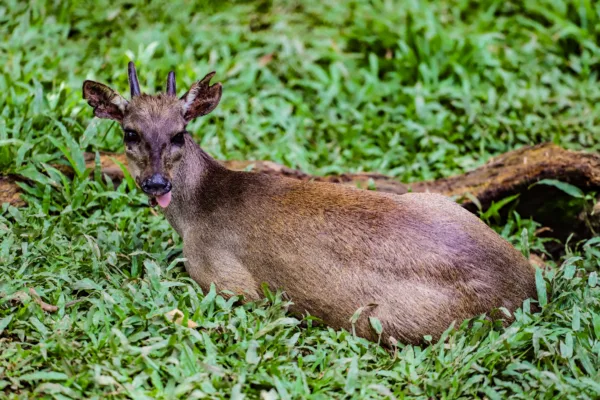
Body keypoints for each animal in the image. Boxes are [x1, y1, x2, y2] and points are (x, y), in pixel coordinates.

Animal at [82, 62, 536, 344]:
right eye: (129, 133)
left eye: (179, 133)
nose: (156, 183)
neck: (197, 212)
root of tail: (527, 288)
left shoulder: (228, 283)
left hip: (381, 320)